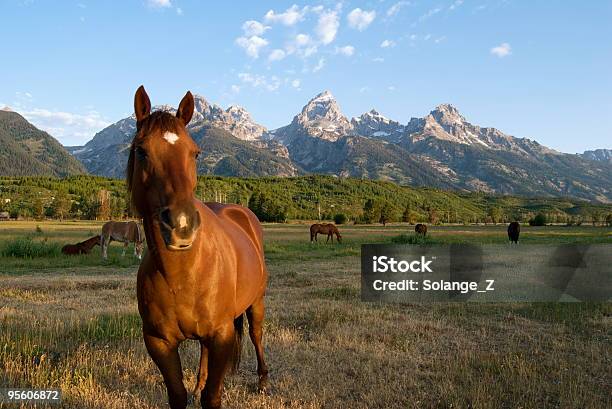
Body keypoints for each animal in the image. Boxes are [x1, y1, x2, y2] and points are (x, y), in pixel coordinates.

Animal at [126, 87, 268, 408]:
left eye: (195, 153)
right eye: (141, 150)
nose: (181, 225)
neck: (182, 275)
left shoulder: (222, 335)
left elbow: (211, 397)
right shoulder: (158, 342)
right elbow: (178, 395)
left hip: (256, 303)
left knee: (257, 336)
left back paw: (264, 381)